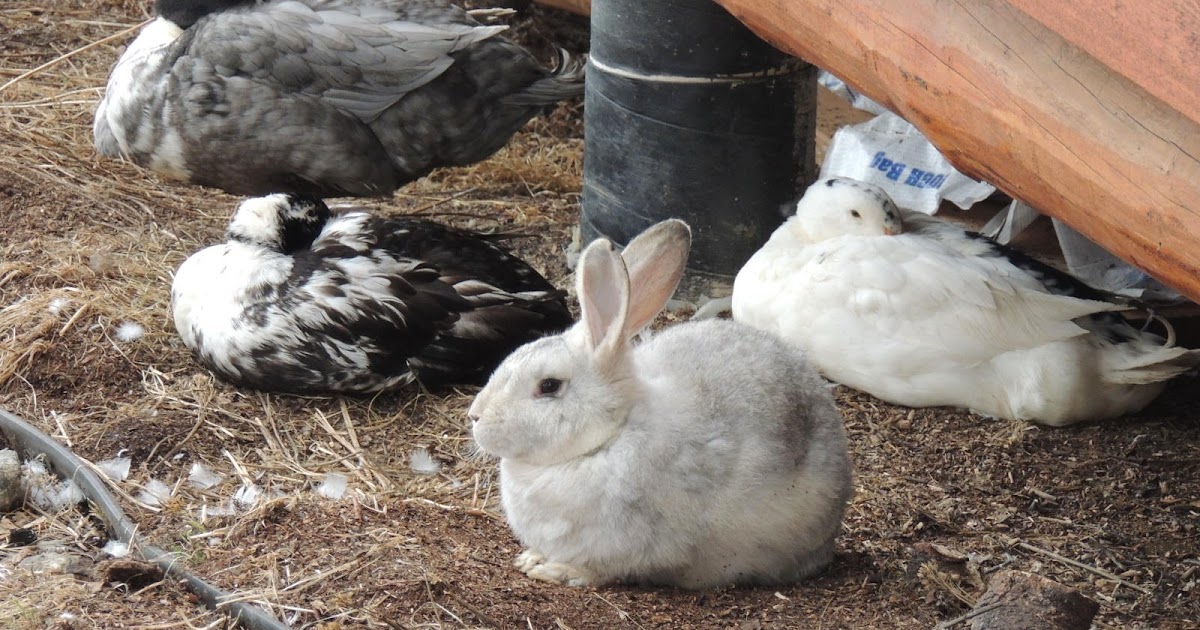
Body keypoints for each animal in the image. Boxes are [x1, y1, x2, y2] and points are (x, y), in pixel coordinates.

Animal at [468, 219, 855, 589]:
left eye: (548, 385)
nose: (475, 416)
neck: (608, 436)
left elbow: (601, 570)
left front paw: (554, 570)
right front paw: (531, 558)